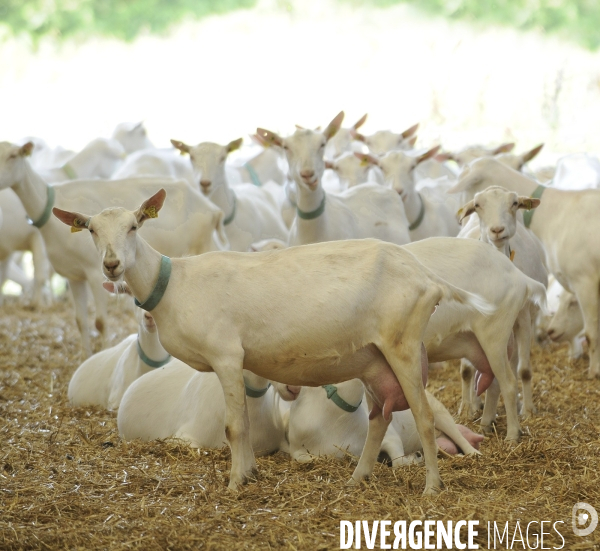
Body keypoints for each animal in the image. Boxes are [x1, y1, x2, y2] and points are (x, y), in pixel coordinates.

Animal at [0, 141, 225, 358]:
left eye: (13, 156)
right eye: (91, 229)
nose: (112, 264)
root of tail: (214, 210)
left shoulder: (93, 272)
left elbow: (100, 322)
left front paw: (104, 350)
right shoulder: (74, 276)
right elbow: (80, 320)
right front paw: (85, 358)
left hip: (204, 244)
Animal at [51, 191, 494, 496]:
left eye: (134, 226)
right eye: (91, 229)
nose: (111, 265)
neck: (175, 283)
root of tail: (427, 276)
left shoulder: (226, 354)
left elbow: (234, 426)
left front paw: (235, 482)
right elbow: (244, 423)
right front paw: (249, 472)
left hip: (402, 344)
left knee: (422, 414)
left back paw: (431, 487)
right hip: (372, 359)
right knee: (379, 419)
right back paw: (357, 478)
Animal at [448, 157, 600, 378]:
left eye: (466, 183)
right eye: (478, 204)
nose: (459, 217)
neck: (554, 212)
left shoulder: (584, 280)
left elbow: (591, 332)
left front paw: (595, 371)